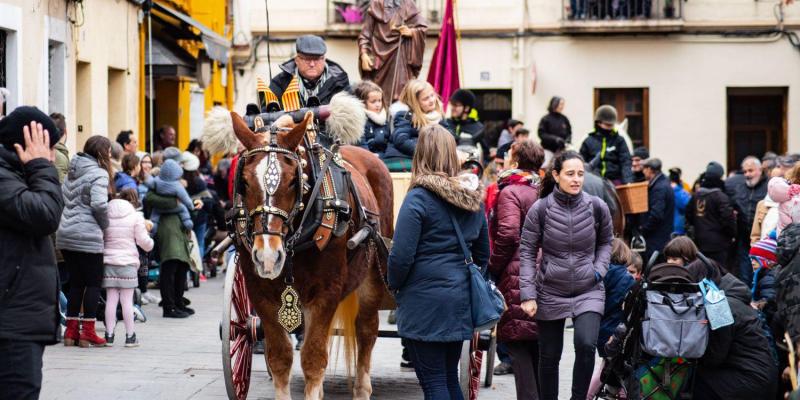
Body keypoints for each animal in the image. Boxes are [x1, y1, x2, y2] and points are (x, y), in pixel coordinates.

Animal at [202, 94, 392, 400]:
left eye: (294, 180)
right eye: (244, 181)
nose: (268, 256)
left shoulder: (326, 293)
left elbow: (314, 359)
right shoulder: (260, 292)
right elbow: (280, 357)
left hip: (373, 276)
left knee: (366, 329)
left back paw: (362, 389)